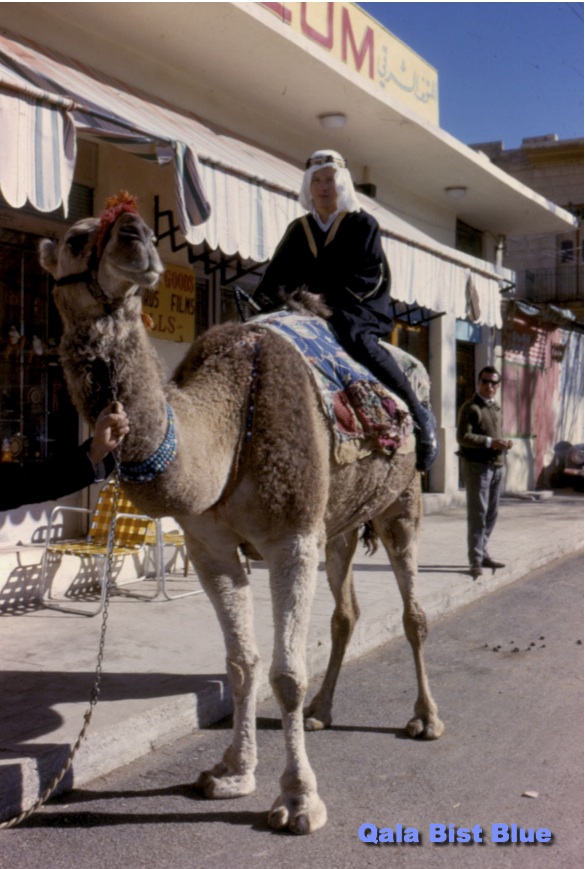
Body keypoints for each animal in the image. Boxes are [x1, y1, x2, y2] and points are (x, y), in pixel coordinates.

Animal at [39, 195, 444, 835]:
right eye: (77, 238)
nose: (136, 237)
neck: (228, 425)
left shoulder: (291, 539)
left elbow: (286, 673)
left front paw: (299, 800)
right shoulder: (211, 548)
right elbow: (241, 663)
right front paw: (231, 771)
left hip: (400, 503)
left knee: (413, 613)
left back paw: (425, 719)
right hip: (339, 523)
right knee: (346, 611)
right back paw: (325, 710)